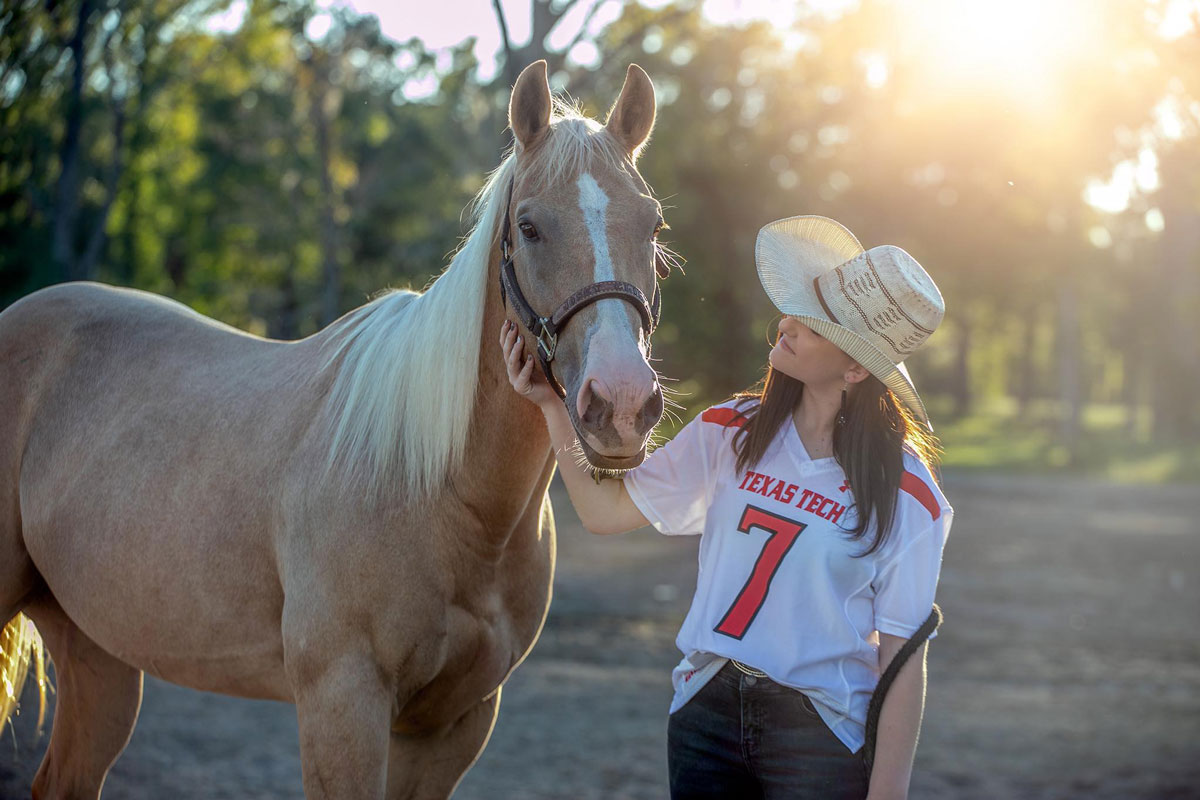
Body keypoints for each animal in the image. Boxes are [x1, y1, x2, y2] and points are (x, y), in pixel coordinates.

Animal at [0, 59, 667, 796]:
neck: (443, 492)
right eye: (528, 227)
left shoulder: (452, 724)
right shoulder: (341, 705)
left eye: (653, 225)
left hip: (99, 649)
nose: (621, 401)